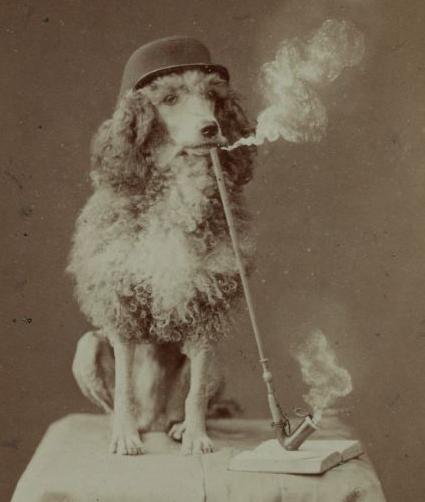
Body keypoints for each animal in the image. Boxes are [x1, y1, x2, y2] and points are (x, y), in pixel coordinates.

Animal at [67, 50, 256, 455]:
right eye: (169, 99)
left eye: (213, 96)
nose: (210, 128)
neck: (175, 187)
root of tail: (154, 420)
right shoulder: (121, 303)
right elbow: (123, 386)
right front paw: (124, 435)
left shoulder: (206, 310)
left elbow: (196, 392)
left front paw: (197, 436)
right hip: (87, 348)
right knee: (115, 396)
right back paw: (130, 426)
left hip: (216, 366)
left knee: (191, 400)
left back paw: (179, 426)